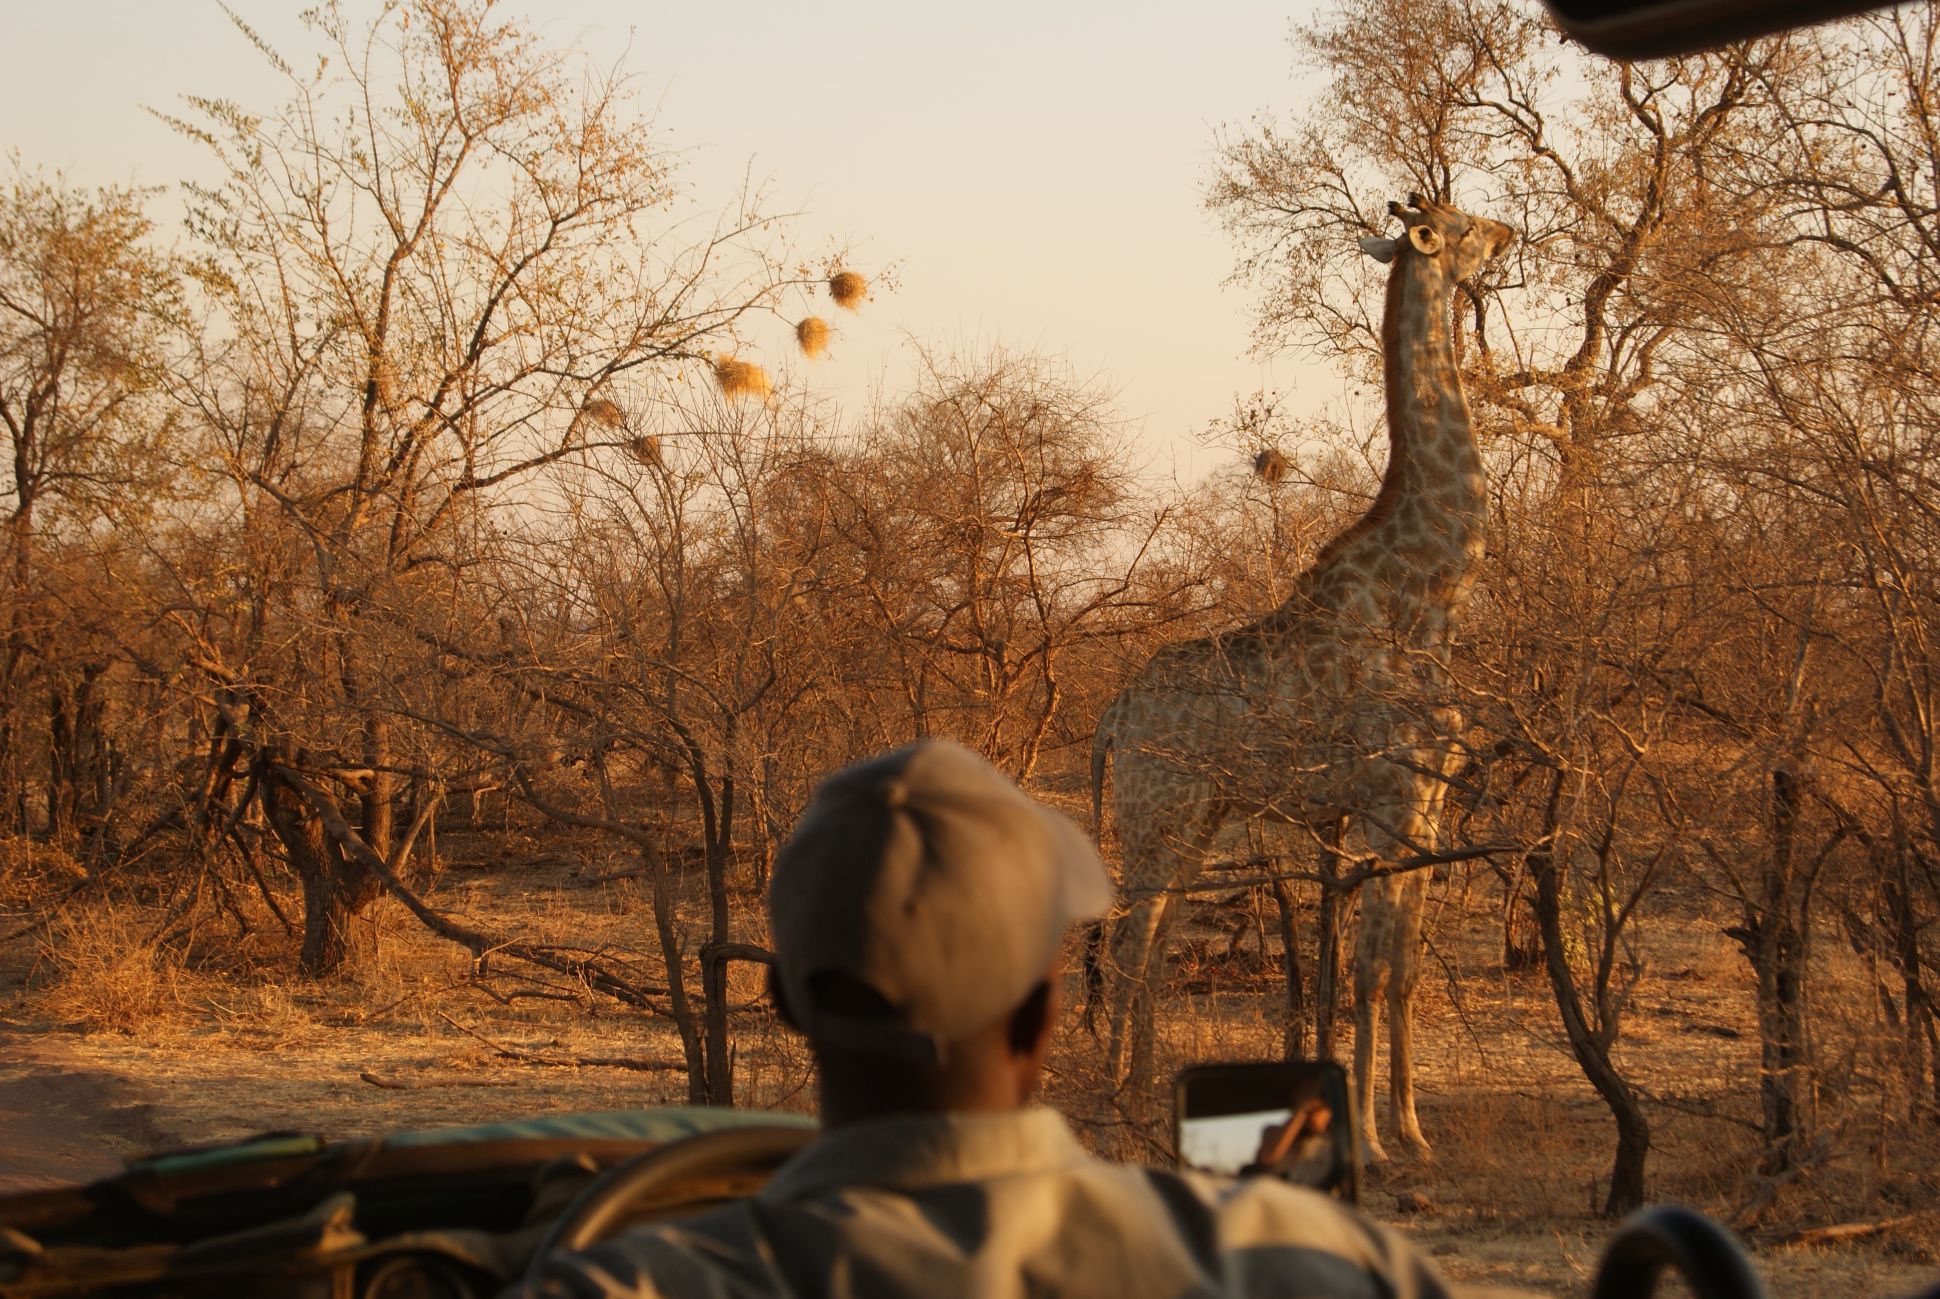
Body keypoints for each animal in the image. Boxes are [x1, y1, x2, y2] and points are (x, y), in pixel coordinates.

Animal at [1091, 194, 1514, 1162]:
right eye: (1463, 224)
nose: (1511, 233)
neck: (1432, 590)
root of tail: (1113, 711)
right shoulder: (1386, 800)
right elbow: (1366, 970)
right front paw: (1372, 1137)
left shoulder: (1427, 803)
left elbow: (1401, 968)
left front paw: (1412, 1126)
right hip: (1159, 812)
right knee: (1131, 944)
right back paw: (1119, 1102)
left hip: (1200, 819)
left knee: (1154, 942)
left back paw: (1147, 1092)